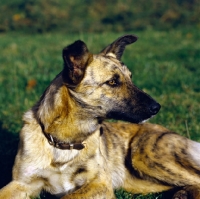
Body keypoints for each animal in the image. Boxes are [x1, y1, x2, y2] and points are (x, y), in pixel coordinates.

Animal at [0, 35, 200, 198]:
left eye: (130, 78)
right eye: (112, 82)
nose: (157, 108)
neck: (65, 142)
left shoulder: (99, 184)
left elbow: (68, 197)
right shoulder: (21, 184)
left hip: (145, 155)